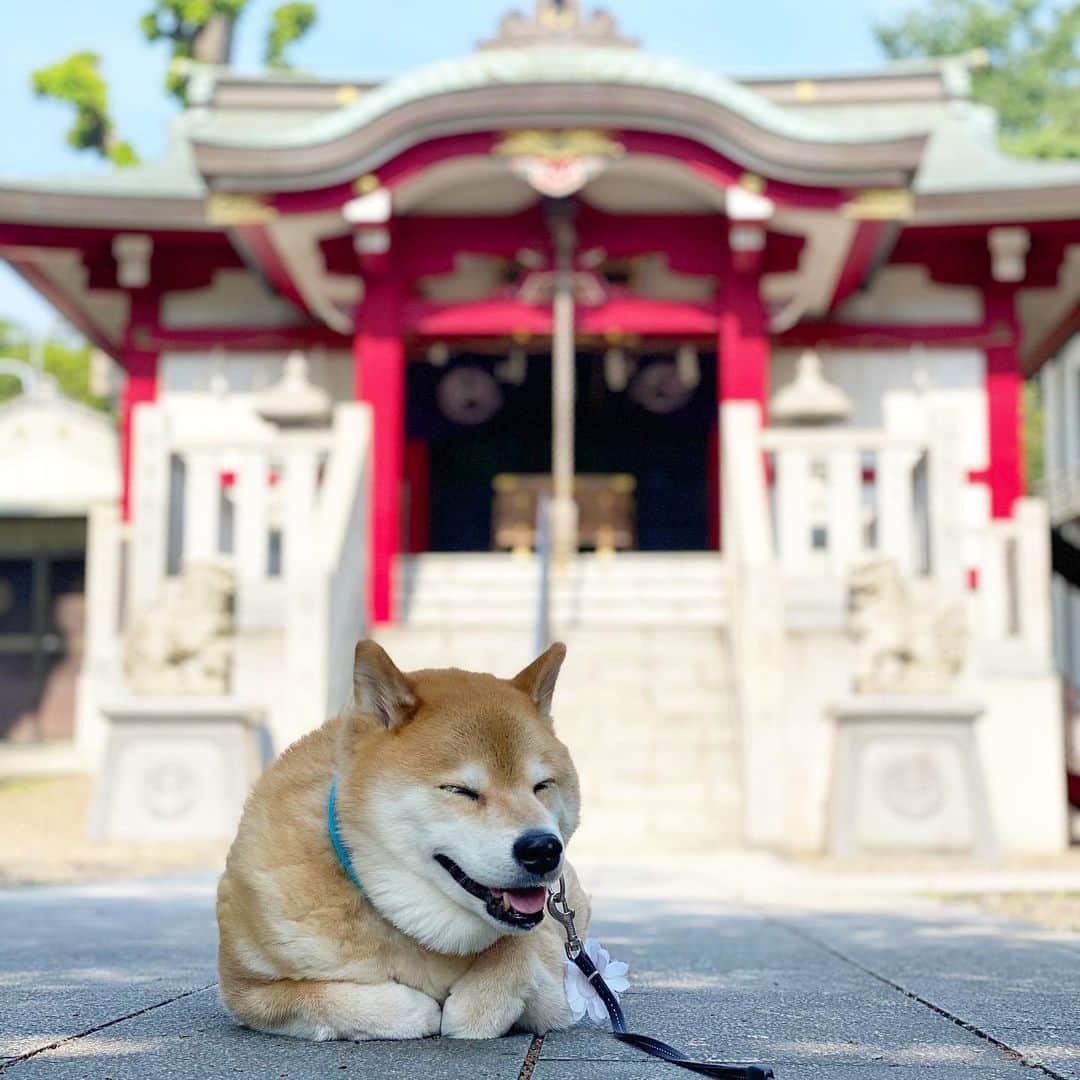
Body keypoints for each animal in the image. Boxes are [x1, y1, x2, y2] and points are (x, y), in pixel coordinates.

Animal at [216, 639, 591, 1036]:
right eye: (460, 790)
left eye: (543, 785)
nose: (543, 849)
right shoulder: (248, 989)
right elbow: (317, 996)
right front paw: (413, 1010)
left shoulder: (561, 973)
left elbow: (520, 950)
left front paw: (475, 1008)